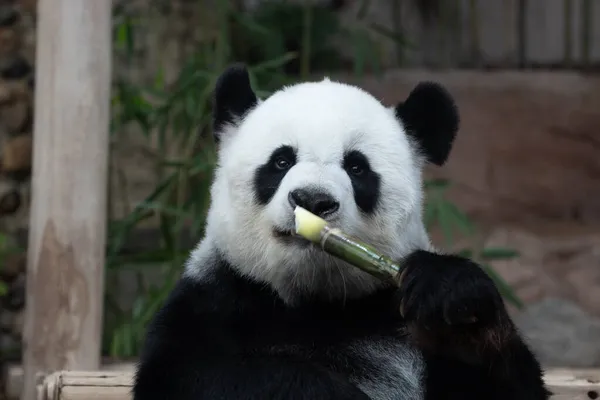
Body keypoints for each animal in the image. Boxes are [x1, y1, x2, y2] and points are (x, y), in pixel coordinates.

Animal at [134, 64, 552, 398]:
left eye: (356, 167)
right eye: (281, 161)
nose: (313, 201)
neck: (315, 303)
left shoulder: (393, 317)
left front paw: (455, 303)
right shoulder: (218, 296)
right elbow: (195, 373)